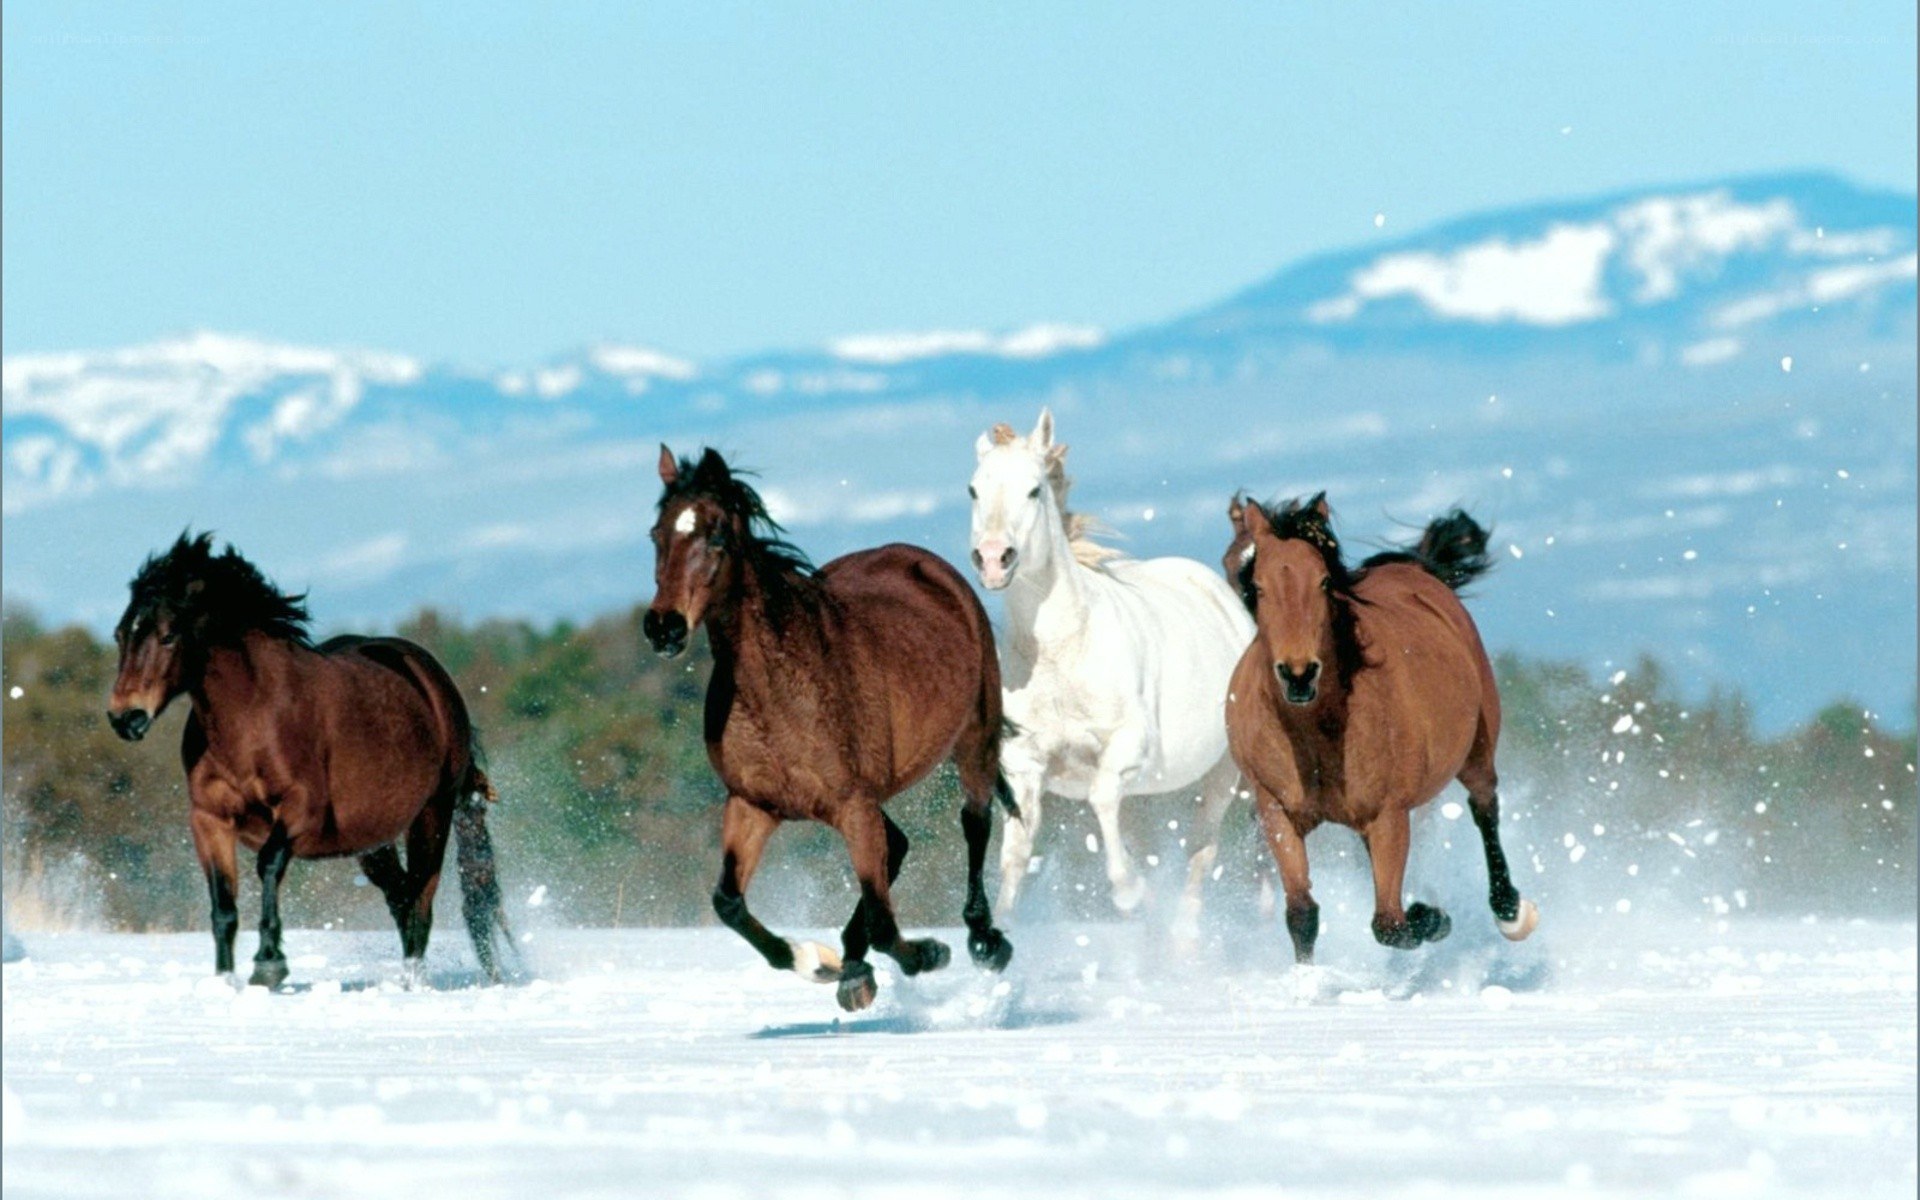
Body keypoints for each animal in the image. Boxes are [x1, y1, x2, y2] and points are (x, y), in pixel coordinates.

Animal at [106, 533, 517, 988]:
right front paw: (226, 980)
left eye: (168, 636)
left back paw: (413, 982)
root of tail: (434, 681)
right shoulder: (209, 818)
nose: (126, 717)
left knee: (419, 901)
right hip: (373, 840)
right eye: (120, 635)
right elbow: (223, 904)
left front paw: (269, 963)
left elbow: (268, 864)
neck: (251, 716)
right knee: (400, 897)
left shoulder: (302, 810)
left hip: (432, 814)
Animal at [642, 446, 1013, 1013]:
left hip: (976, 738)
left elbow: (884, 921)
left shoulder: (852, 804)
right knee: (898, 846)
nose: (664, 627)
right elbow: (728, 903)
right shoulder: (753, 805)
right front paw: (820, 963)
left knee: (974, 822)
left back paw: (985, 942)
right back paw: (853, 968)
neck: (779, 692)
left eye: (717, 535)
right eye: (657, 534)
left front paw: (928, 953)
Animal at [968, 409, 1254, 933]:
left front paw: (1129, 892)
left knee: (1200, 855)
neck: (1062, 654)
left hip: (1222, 775)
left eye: (1034, 490)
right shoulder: (1024, 766)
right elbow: (1015, 856)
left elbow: (1101, 799)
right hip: (1148, 794)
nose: (994, 559)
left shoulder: (1127, 748)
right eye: (974, 490)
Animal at [1224, 493, 1539, 963]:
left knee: (1485, 808)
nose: (1298, 674)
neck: (1316, 732)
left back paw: (1510, 912)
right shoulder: (1277, 812)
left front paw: (1432, 918)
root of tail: (1416, 570)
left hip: (1477, 749)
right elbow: (1302, 914)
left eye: (1323, 582)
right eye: (1258, 586)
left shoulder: (1389, 816)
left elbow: (1389, 923)